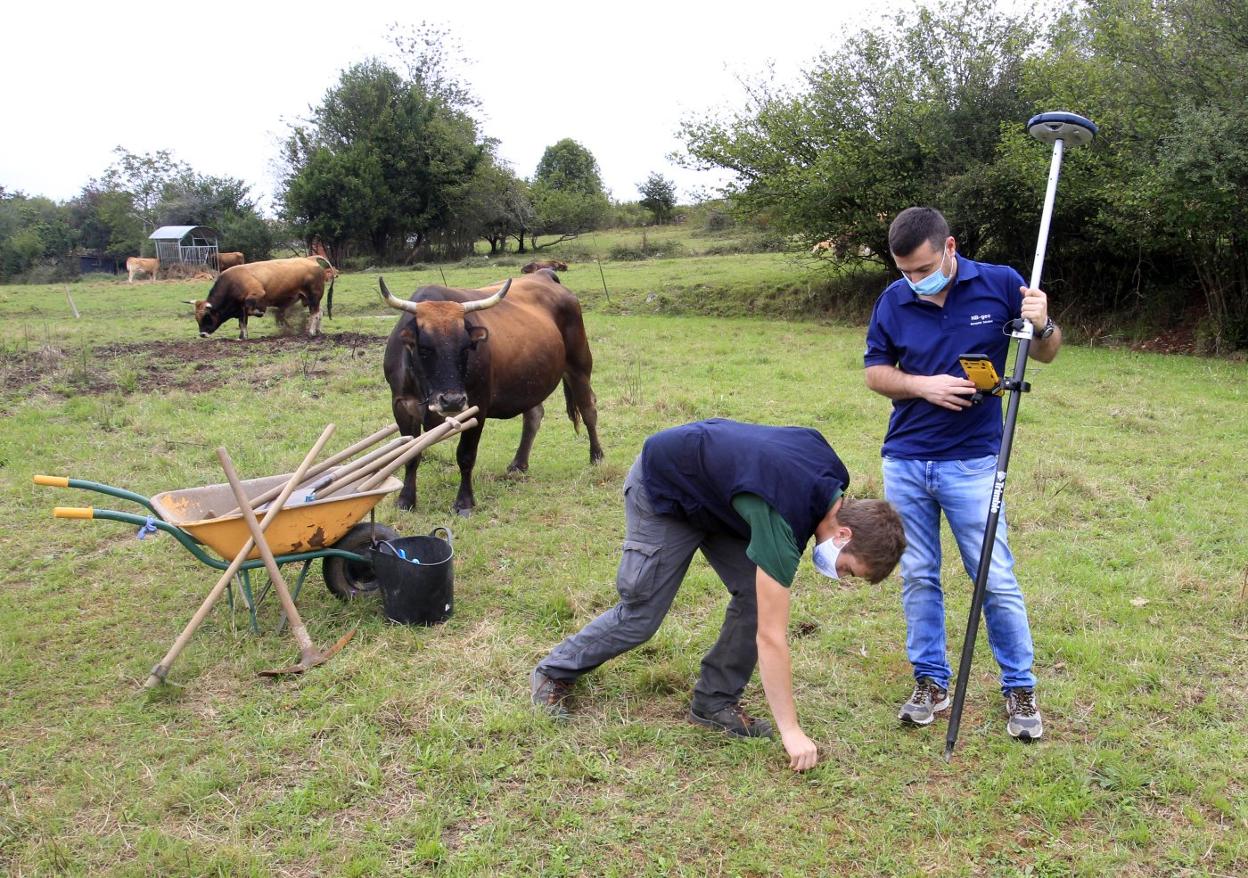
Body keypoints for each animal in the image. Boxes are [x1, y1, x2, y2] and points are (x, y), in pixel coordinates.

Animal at [182, 255, 334, 336]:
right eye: (196, 318)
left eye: (207, 317)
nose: (202, 334)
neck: (232, 283)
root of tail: (311, 259)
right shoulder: (240, 310)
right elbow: (242, 323)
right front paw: (242, 336)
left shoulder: (256, 294)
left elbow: (250, 309)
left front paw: (258, 313)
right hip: (310, 299)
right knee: (320, 312)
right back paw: (319, 330)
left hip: (313, 297)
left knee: (315, 314)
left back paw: (311, 331)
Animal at [379, 266, 604, 513]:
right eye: (425, 348)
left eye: (466, 347)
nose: (452, 401)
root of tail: (544, 274)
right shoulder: (401, 405)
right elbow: (410, 455)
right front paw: (405, 500)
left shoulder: (477, 405)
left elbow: (466, 455)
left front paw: (464, 502)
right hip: (531, 379)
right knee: (534, 415)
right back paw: (519, 463)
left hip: (579, 366)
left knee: (588, 409)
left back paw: (596, 456)